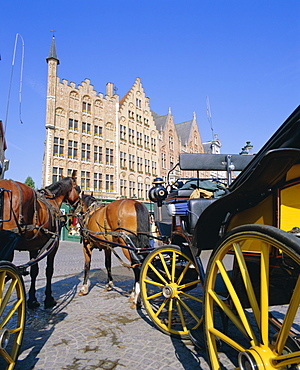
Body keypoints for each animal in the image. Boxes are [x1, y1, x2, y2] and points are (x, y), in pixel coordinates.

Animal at [0, 175, 80, 308]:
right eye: (78, 188)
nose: (79, 206)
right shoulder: (53, 244)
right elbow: (49, 271)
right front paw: (49, 299)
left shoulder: (33, 246)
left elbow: (34, 271)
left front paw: (32, 300)